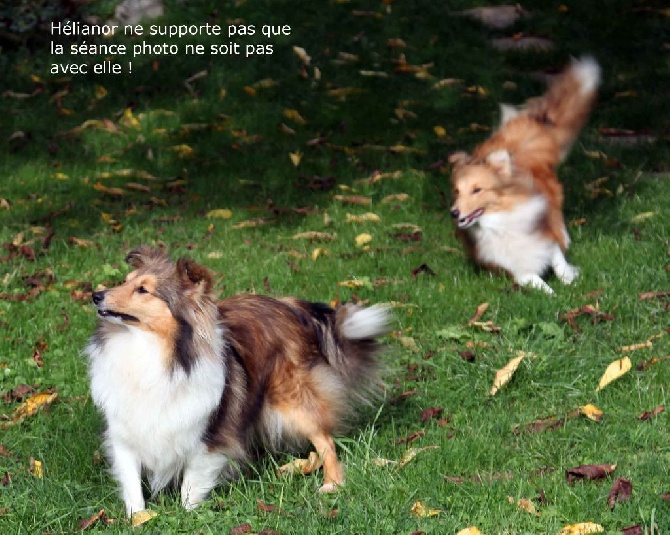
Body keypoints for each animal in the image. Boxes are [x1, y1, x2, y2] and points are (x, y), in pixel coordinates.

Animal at [85, 247, 388, 516]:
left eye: (143, 290)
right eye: (125, 281)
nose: (96, 295)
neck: (151, 350)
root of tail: (288, 305)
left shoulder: (208, 434)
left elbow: (191, 485)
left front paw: (188, 514)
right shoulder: (125, 434)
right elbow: (132, 483)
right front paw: (137, 517)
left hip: (293, 400)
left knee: (326, 441)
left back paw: (332, 484)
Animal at [452, 56, 604, 296]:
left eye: (477, 190)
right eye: (456, 191)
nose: (454, 212)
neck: (499, 222)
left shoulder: (544, 236)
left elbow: (558, 261)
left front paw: (570, 279)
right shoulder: (519, 271)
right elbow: (538, 282)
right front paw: (556, 295)